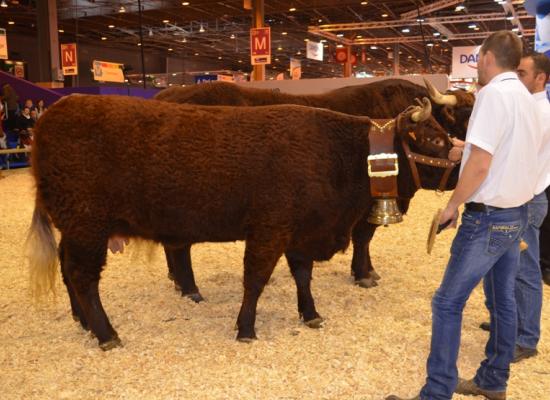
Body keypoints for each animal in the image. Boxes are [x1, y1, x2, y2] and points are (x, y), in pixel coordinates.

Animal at [25, 95, 448, 348]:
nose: (461, 159)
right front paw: (246, 328)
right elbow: (255, 279)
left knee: (68, 269)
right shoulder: (269, 228)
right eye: (437, 142)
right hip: (87, 224)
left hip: (76, 227)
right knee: (82, 276)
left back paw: (83, 321)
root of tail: (56, 110)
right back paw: (106, 333)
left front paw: (310, 314)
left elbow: (302, 275)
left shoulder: (299, 231)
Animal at [154, 79, 474, 298]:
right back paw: (188, 287)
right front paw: (363, 273)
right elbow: (363, 237)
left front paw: (367, 270)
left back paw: (177, 280)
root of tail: (168, 94)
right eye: (468, 113)